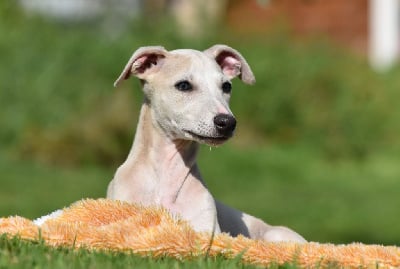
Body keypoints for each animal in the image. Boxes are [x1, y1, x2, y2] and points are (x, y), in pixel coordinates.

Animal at [107, 43, 306, 241]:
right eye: (184, 85)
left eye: (226, 86)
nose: (228, 123)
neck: (166, 179)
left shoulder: (205, 232)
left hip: (276, 234)